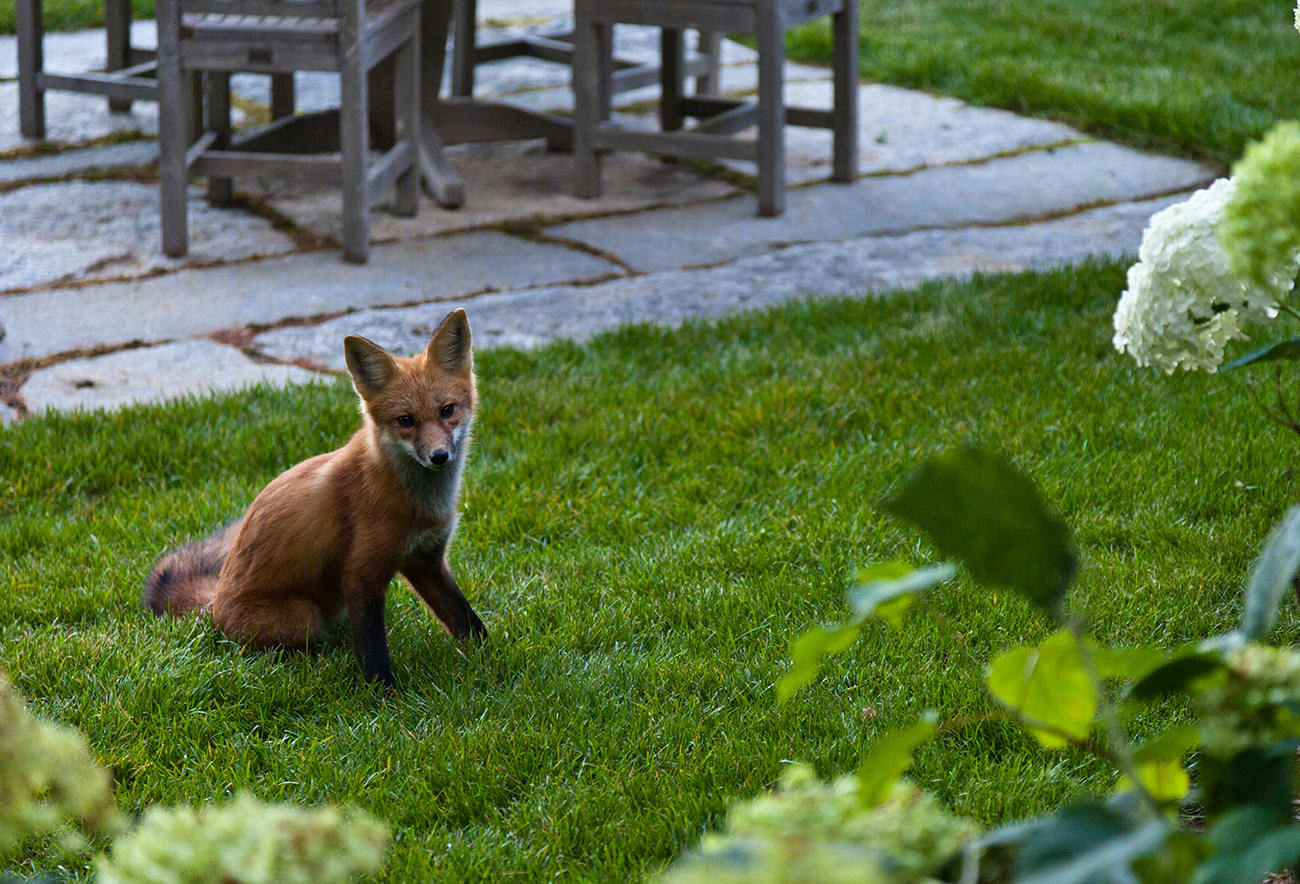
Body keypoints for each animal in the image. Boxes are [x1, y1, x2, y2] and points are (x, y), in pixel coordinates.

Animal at [142, 310, 486, 691]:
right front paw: (384, 694)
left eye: (447, 410)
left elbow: (465, 618)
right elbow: (372, 649)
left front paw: (492, 654)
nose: (439, 456)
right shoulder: (360, 573)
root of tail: (214, 605)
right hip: (305, 616)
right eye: (406, 421)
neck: (417, 501)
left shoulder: (425, 559)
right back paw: (319, 663)